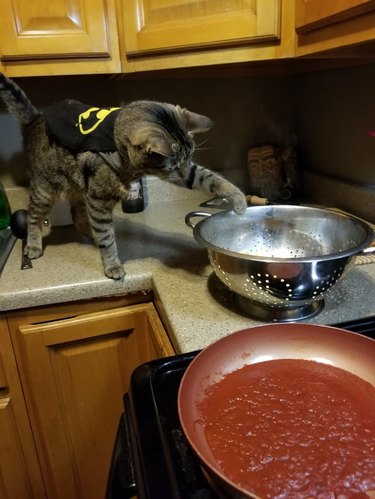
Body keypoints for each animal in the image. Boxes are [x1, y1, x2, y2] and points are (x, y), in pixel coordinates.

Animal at [0, 72, 248, 280]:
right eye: (172, 166)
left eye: (188, 159)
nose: (182, 169)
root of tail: (36, 118)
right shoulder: (99, 202)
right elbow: (107, 239)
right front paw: (112, 265)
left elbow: (210, 178)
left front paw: (238, 199)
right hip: (45, 190)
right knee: (33, 216)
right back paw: (34, 245)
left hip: (81, 190)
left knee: (79, 218)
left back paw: (91, 236)